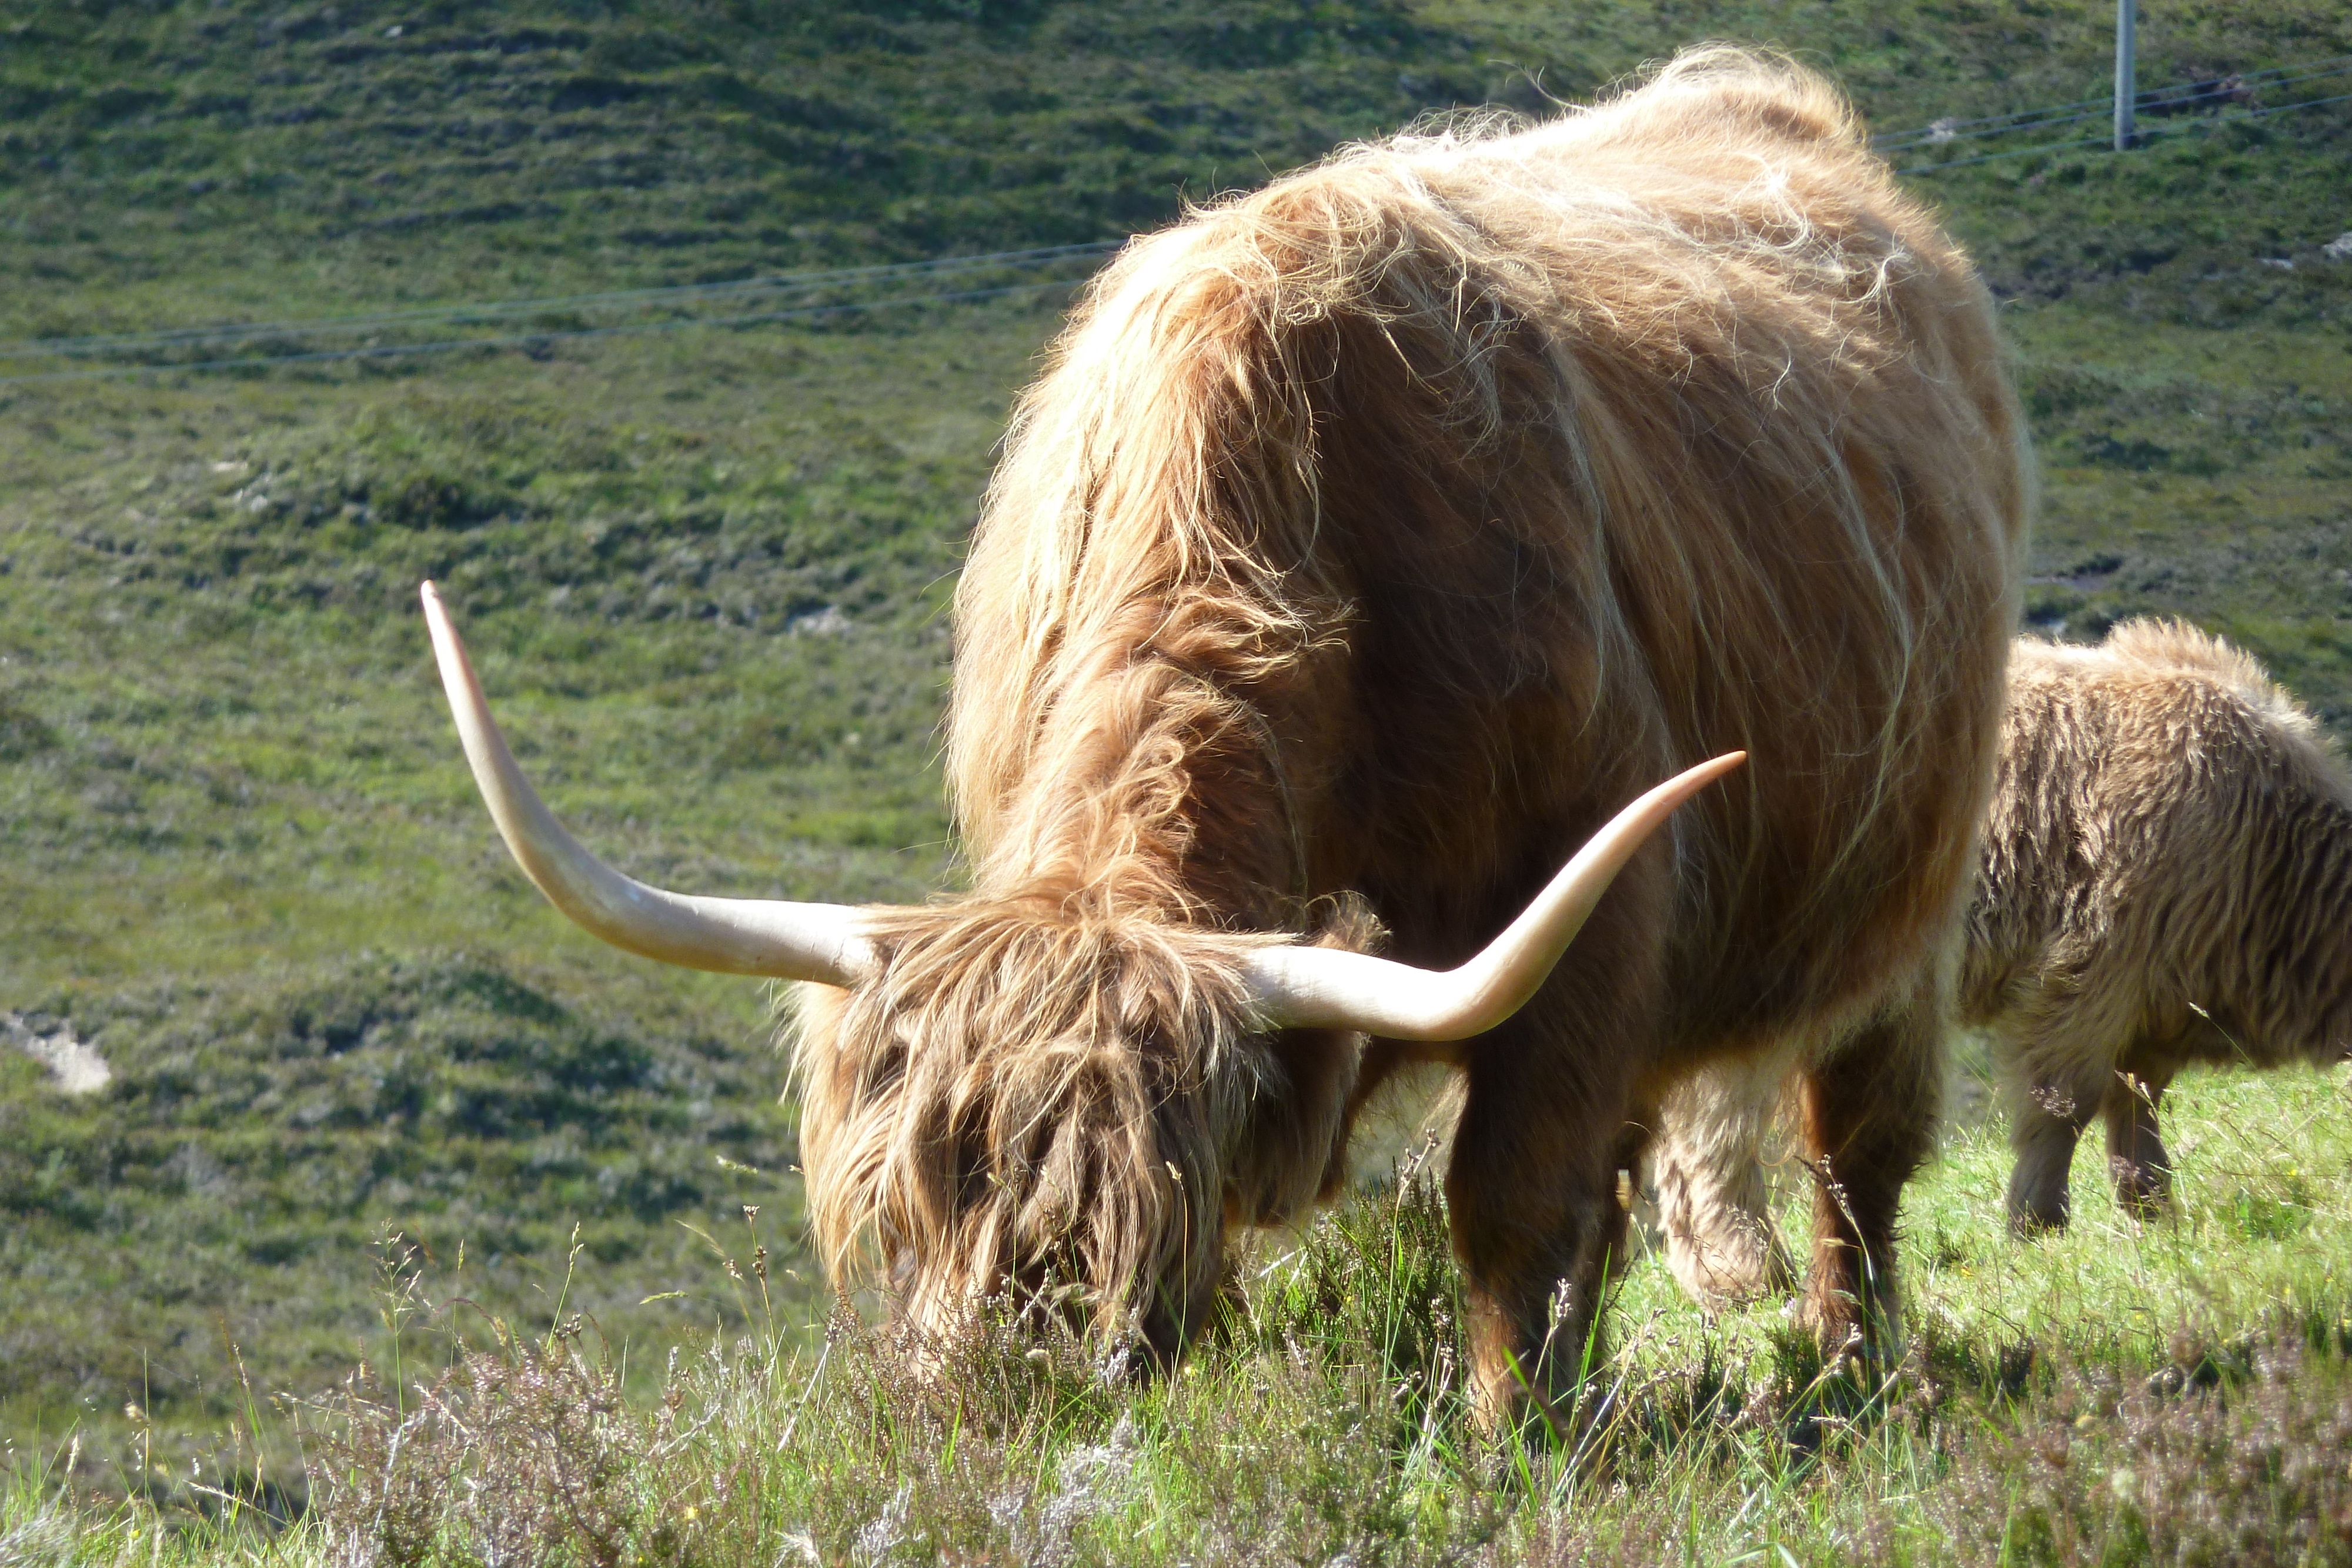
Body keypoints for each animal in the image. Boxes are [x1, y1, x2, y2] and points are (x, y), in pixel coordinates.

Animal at [419, 49, 2023, 1420]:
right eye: (905, 1202)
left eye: (1137, 1220)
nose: (993, 1399)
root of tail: (1759, 95)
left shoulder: (1595, 903)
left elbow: (1509, 1199)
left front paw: (1509, 1448)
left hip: (1915, 882)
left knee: (1856, 1149)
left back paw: (1849, 1376)